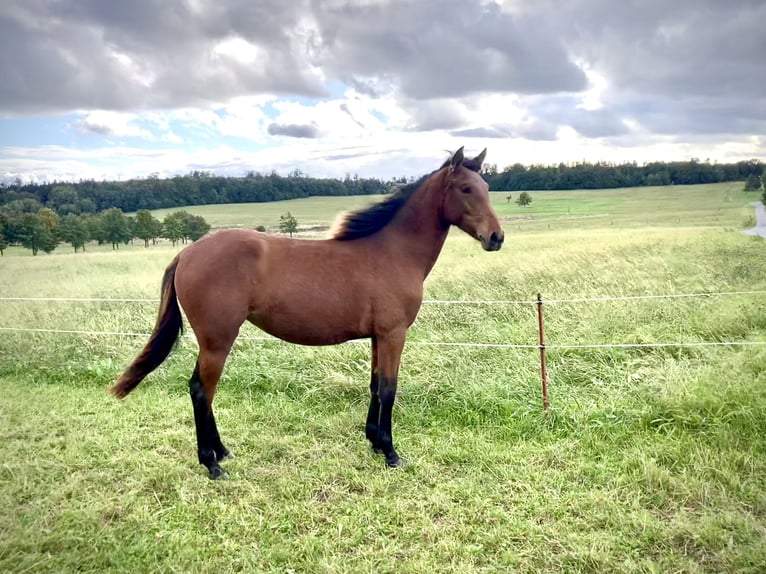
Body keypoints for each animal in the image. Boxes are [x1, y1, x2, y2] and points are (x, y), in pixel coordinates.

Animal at [108, 146, 504, 480]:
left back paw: (221, 452)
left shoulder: (379, 337)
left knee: (199, 389)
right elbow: (390, 389)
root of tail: (187, 253)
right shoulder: (394, 335)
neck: (392, 252)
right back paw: (212, 464)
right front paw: (391, 453)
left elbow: (375, 386)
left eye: (486, 187)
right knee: (202, 391)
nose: (496, 237)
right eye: (466, 188)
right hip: (217, 341)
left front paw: (374, 442)